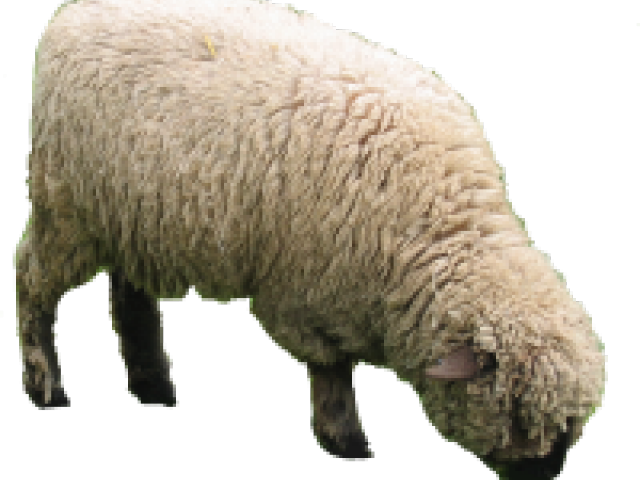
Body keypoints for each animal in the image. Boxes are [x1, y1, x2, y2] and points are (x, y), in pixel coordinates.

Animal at [19, 0, 606, 476]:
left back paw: (154, 387)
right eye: (518, 416)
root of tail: (76, 13)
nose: (546, 474)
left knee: (129, 294)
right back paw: (44, 383)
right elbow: (332, 372)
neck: (436, 230)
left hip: (131, 213)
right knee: (33, 282)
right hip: (65, 208)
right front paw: (346, 442)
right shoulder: (305, 294)